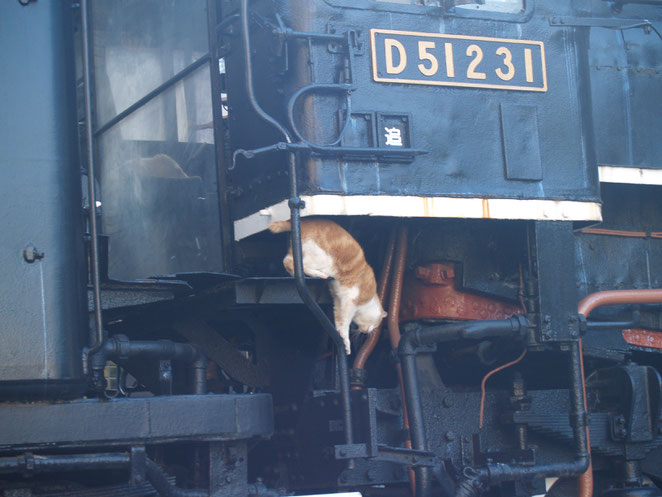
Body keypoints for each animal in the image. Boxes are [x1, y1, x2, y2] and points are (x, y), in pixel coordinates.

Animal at [270, 219, 386, 354]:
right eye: (377, 324)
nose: (368, 332)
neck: (369, 299)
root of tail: (303, 222)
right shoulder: (351, 301)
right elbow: (345, 323)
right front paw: (346, 339)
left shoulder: (338, 301)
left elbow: (339, 322)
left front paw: (344, 342)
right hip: (322, 258)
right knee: (292, 262)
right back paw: (319, 274)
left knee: (287, 260)